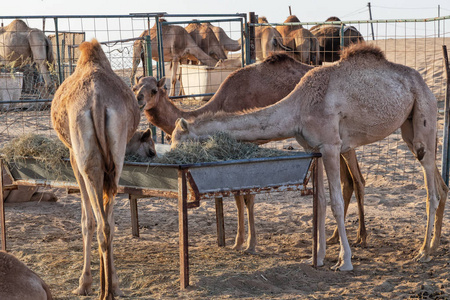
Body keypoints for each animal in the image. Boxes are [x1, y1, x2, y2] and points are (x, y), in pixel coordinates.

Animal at [50, 39, 141, 298]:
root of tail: (98, 101)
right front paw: (113, 282)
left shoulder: (74, 158)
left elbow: (86, 221)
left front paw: (84, 283)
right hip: (117, 160)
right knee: (108, 224)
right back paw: (110, 288)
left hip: (86, 161)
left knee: (98, 224)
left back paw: (101, 291)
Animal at [133, 53, 370, 251]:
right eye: (135, 87)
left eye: (154, 90)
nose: (139, 100)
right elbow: (238, 195)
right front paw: (238, 242)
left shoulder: (252, 143)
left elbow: (248, 196)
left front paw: (249, 244)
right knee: (348, 181)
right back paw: (335, 237)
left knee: (358, 180)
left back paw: (361, 237)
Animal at [171, 43, 448, 270]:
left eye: (177, 139)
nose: (172, 157)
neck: (298, 108)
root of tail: (424, 84)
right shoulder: (313, 149)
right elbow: (321, 202)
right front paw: (318, 257)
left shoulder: (331, 146)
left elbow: (336, 202)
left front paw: (344, 261)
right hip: (408, 129)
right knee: (438, 182)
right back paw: (433, 247)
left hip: (424, 116)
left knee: (430, 190)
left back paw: (423, 252)